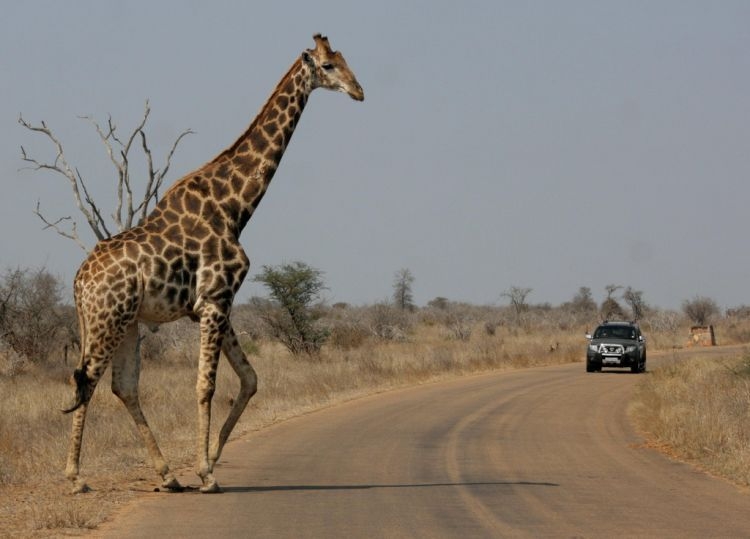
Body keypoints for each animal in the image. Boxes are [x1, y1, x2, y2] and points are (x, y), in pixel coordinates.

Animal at [64, 33, 364, 496]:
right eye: (329, 66)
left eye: (344, 59)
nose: (358, 91)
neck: (235, 207)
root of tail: (78, 282)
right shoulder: (216, 300)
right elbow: (206, 385)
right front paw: (207, 472)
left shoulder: (210, 304)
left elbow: (250, 378)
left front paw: (213, 458)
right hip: (106, 318)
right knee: (87, 380)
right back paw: (76, 477)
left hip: (125, 321)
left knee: (122, 386)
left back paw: (168, 475)